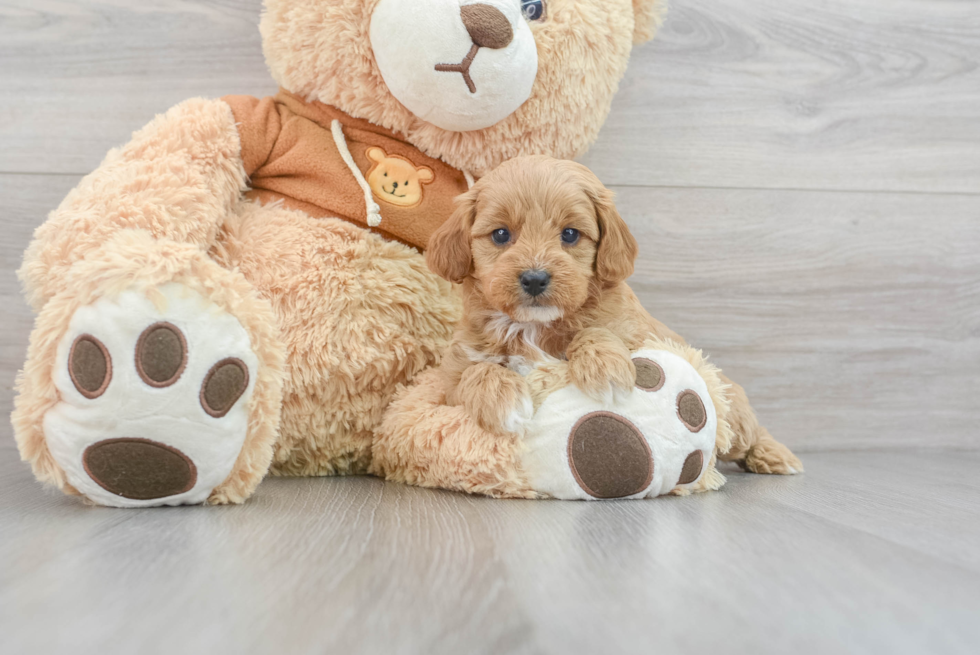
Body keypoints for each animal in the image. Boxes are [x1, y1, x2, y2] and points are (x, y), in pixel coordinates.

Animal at [428, 156, 804, 476]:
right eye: (501, 234)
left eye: (570, 234)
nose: (535, 278)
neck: (533, 326)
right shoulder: (452, 377)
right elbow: (475, 371)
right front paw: (504, 400)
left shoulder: (638, 335)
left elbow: (597, 332)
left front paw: (604, 367)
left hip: (734, 415)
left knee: (749, 434)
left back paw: (775, 455)